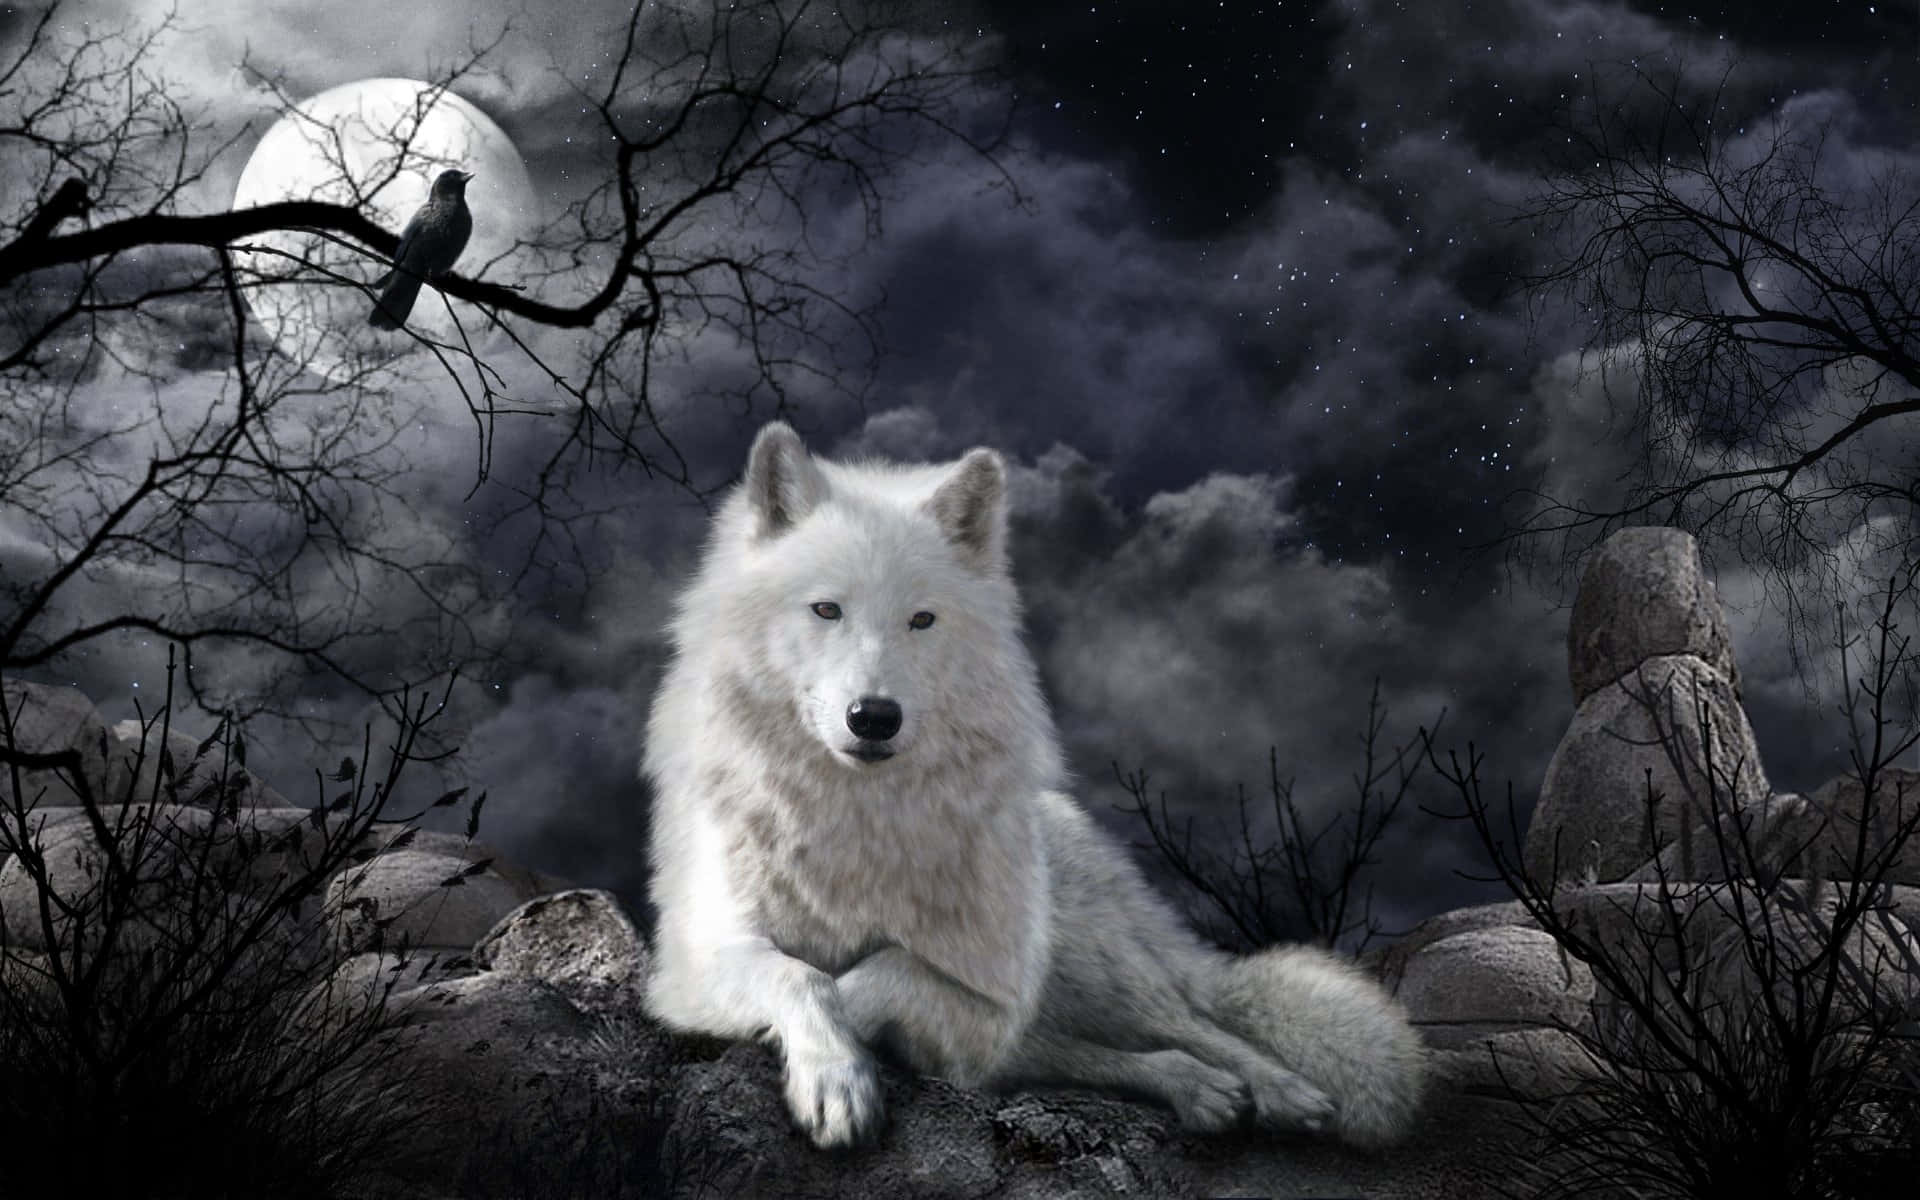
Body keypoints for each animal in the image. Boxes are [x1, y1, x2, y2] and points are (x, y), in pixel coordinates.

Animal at [643, 422, 1426, 1151]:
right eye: (826, 610)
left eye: (922, 619)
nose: (874, 718)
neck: (857, 817)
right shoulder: (692, 964)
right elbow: (800, 976)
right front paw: (835, 1078)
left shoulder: (992, 995)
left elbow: (884, 971)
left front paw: (845, 1053)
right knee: (1098, 1052)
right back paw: (1200, 1090)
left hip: (1096, 965)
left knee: (1198, 1024)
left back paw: (1283, 1091)